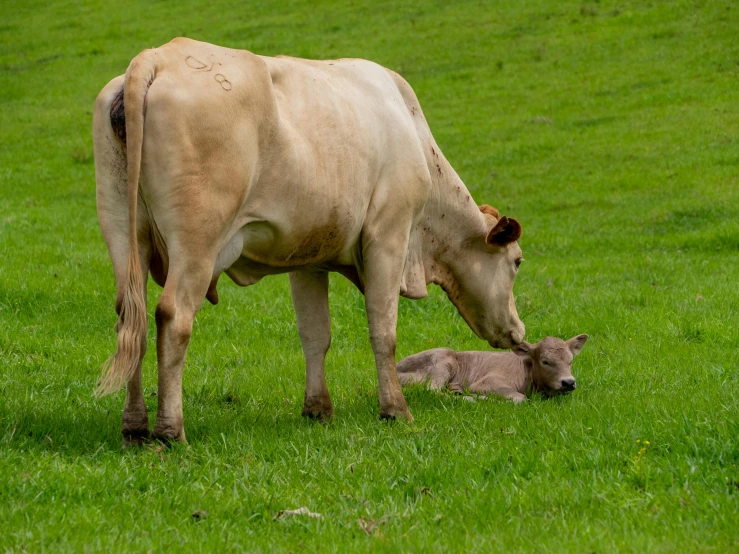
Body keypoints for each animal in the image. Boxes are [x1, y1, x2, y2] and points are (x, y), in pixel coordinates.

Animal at [94, 37, 528, 444]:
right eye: (517, 261)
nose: (521, 333)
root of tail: (158, 56)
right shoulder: (388, 234)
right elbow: (383, 331)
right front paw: (395, 410)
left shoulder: (307, 258)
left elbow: (315, 334)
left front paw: (318, 409)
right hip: (197, 243)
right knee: (173, 317)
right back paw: (170, 430)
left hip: (122, 233)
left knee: (130, 316)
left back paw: (134, 428)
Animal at [398, 332, 588, 402]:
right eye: (545, 361)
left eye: (570, 360)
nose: (568, 382)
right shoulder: (488, 381)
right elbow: (520, 398)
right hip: (442, 362)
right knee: (432, 390)